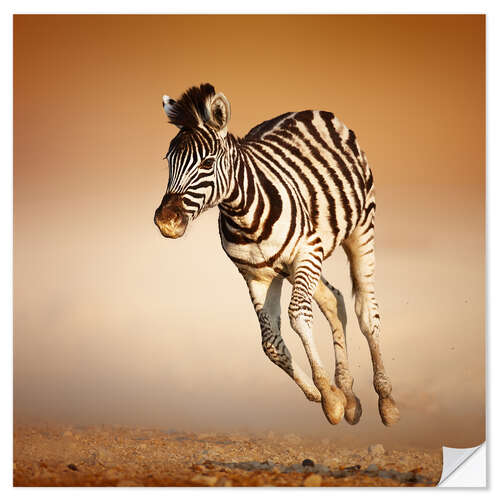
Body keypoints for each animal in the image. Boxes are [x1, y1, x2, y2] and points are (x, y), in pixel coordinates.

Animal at [154, 83, 400, 426]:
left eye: (207, 163)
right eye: (168, 160)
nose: (166, 221)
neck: (244, 215)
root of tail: (308, 110)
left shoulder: (306, 251)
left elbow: (298, 316)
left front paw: (330, 399)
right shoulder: (256, 275)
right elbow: (270, 343)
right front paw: (326, 394)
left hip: (358, 231)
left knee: (366, 311)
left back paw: (386, 401)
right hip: (296, 265)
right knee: (334, 300)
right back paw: (350, 396)